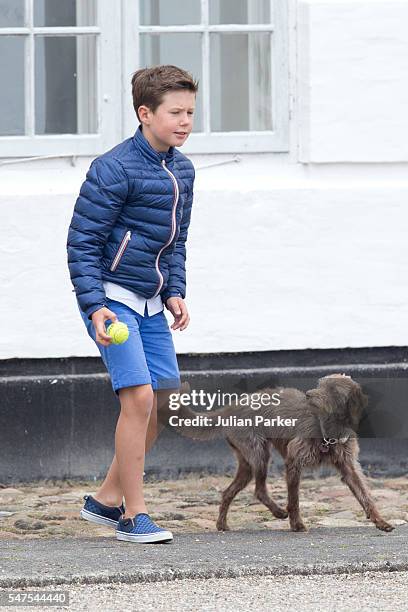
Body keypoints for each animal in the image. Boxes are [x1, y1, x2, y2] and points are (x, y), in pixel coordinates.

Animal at [171, 370, 394, 532]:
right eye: (320, 385)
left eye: (333, 389)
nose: (309, 395)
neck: (327, 429)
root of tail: (231, 407)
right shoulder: (294, 461)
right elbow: (293, 499)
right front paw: (297, 524)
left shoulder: (348, 466)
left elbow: (365, 495)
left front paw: (380, 521)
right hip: (259, 455)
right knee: (259, 490)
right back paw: (278, 512)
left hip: (247, 463)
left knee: (229, 492)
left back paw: (222, 524)